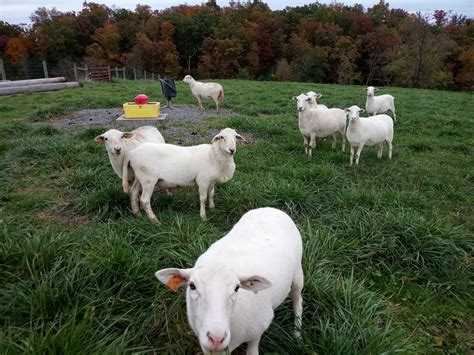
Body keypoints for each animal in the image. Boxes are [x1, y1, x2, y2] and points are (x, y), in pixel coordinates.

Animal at [156, 207, 304, 354]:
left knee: (298, 300)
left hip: (298, 273)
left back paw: (297, 333)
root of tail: (270, 208)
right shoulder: (205, 345)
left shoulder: (257, 333)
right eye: (192, 286)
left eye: (237, 288)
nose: (216, 338)